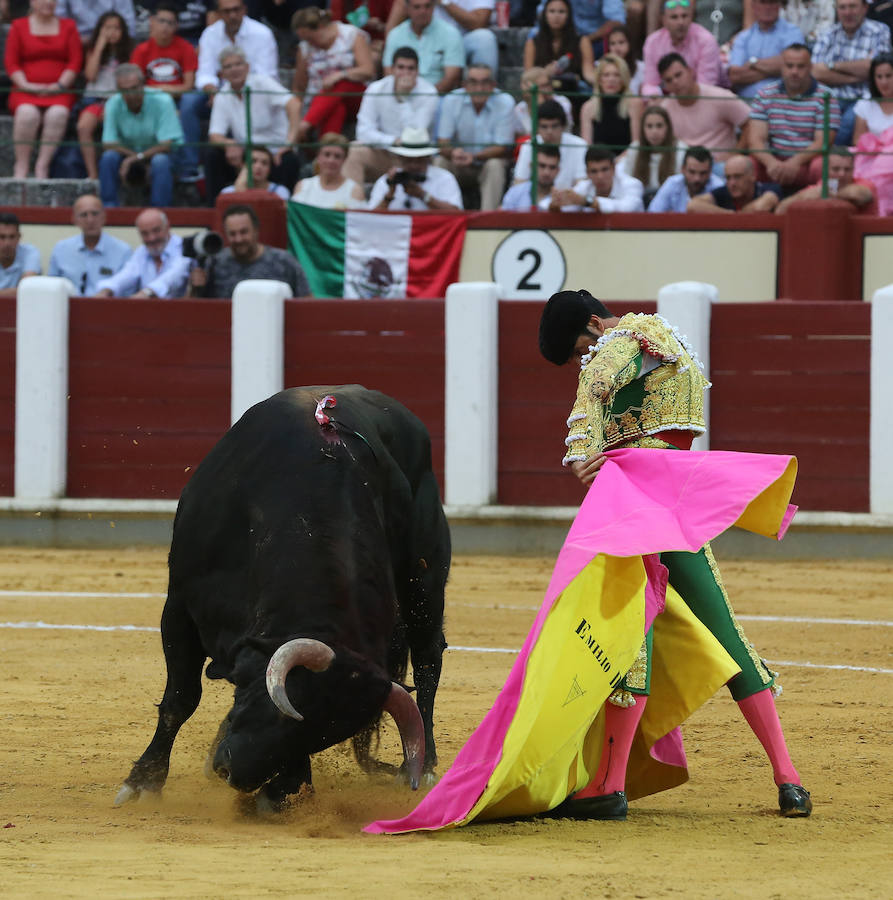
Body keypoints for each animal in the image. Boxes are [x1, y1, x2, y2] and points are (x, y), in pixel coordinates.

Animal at [116, 384, 452, 808]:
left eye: (320, 738)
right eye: (281, 712)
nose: (236, 775)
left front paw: (284, 791)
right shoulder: (179, 607)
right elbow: (181, 697)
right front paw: (143, 781)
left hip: (423, 581)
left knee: (427, 660)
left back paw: (421, 767)